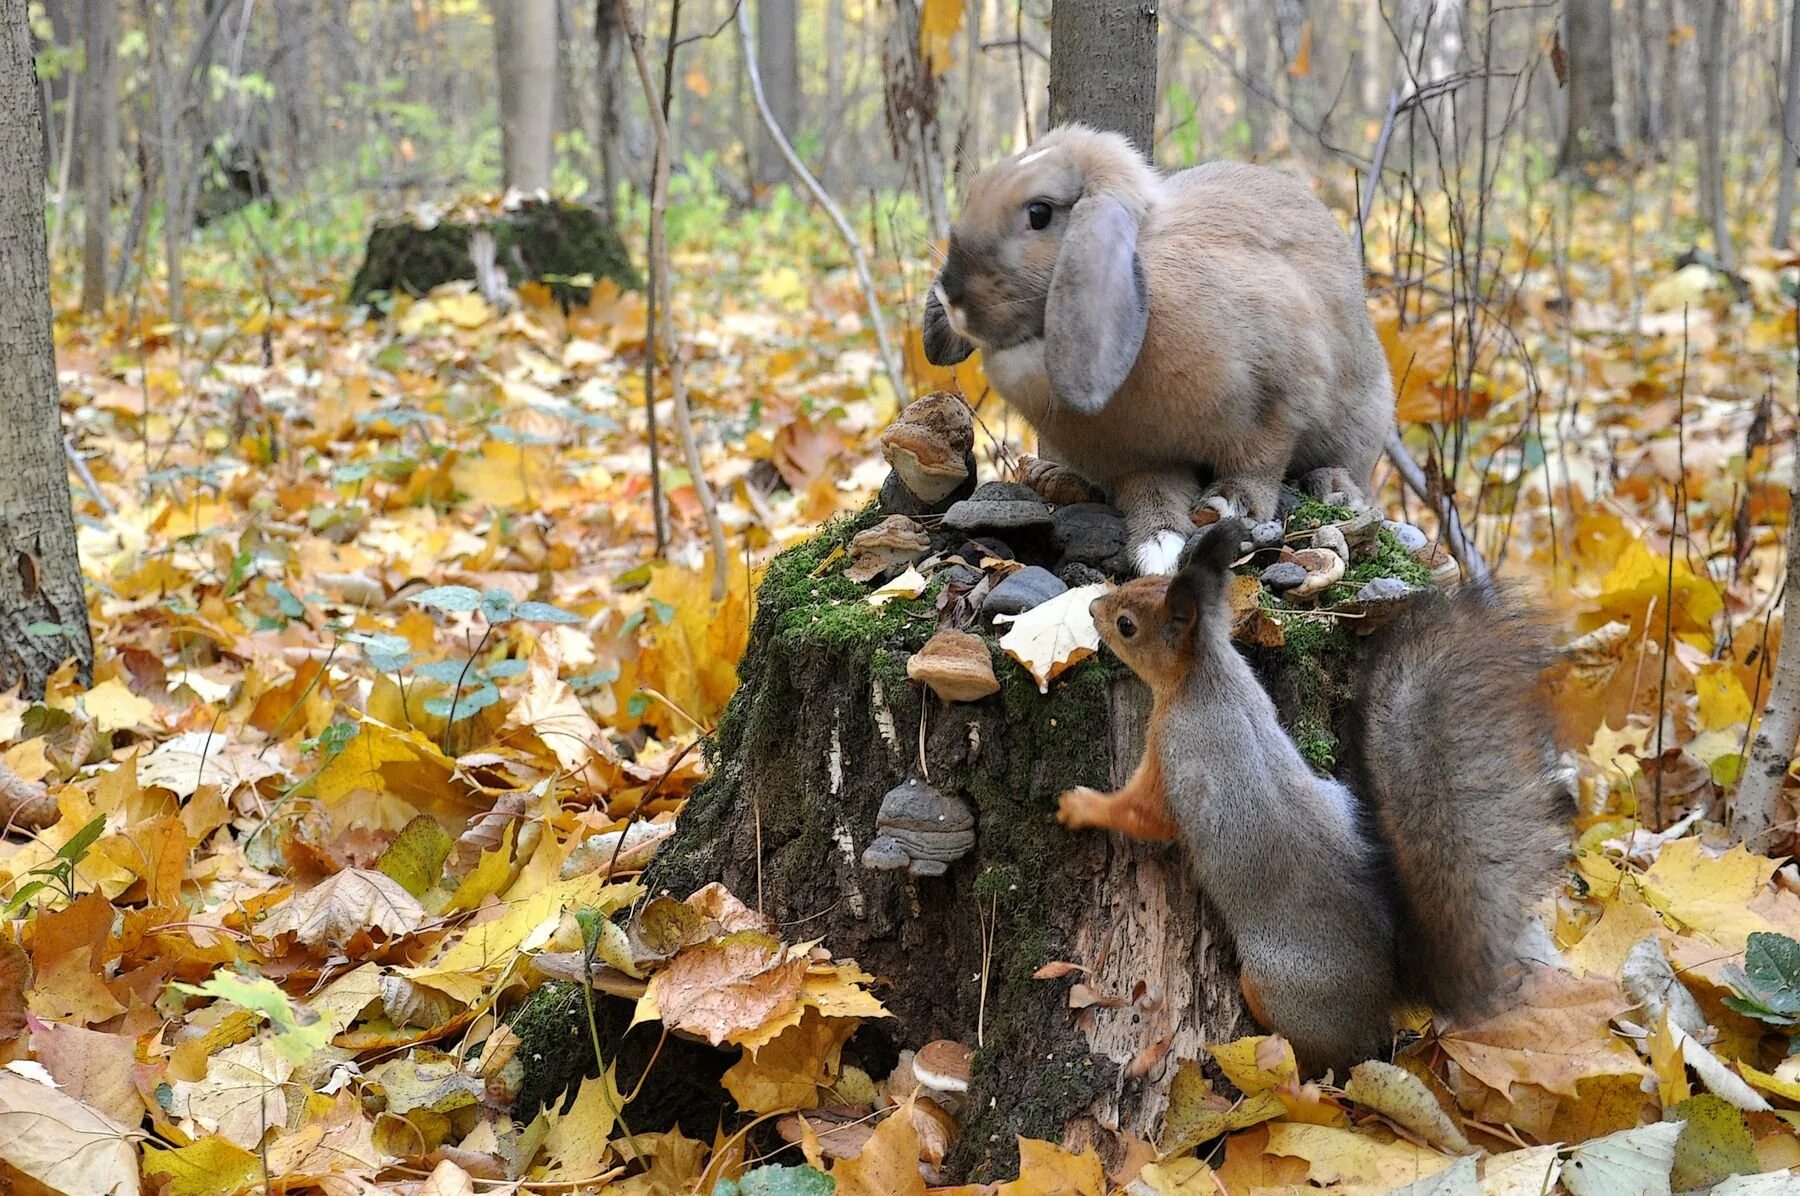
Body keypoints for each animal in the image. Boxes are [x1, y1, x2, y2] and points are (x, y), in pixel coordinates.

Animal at [921, 126, 1396, 576]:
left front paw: (1227, 504)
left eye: (1039, 213)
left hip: (1364, 417)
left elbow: (1259, 463)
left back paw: (1335, 489)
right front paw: (1159, 546)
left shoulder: (1280, 403)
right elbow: (1153, 494)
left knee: (1341, 463)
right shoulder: (1139, 461)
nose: (949, 297)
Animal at [1058, 522, 1569, 1073]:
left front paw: (1079, 806)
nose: (1094, 608)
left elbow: (1141, 814)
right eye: (1138, 586)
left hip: (1276, 986)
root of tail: (1383, 995)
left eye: (1126, 625)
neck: (1207, 680)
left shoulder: (1176, 757)